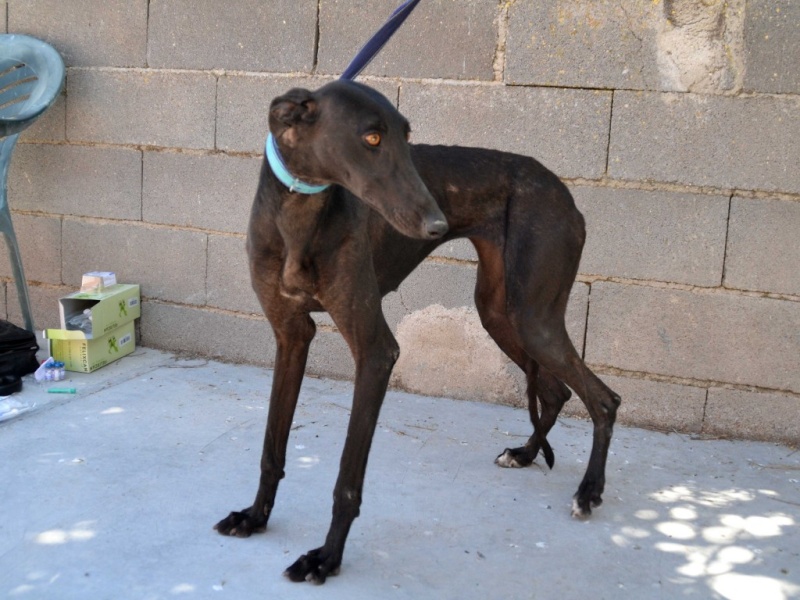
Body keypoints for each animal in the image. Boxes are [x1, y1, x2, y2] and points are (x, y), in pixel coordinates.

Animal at [212, 77, 620, 584]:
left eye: (407, 138)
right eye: (371, 137)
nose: (436, 225)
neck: (300, 212)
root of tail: (565, 193)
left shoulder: (376, 351)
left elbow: (347, 480)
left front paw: (326, 556)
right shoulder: (291, 335)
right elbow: (272, 446)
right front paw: (255, 516)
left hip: (533, 316)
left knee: (603, 399)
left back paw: (589, 491)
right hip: (500, 313)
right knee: (557, 391)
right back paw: (526, 454)